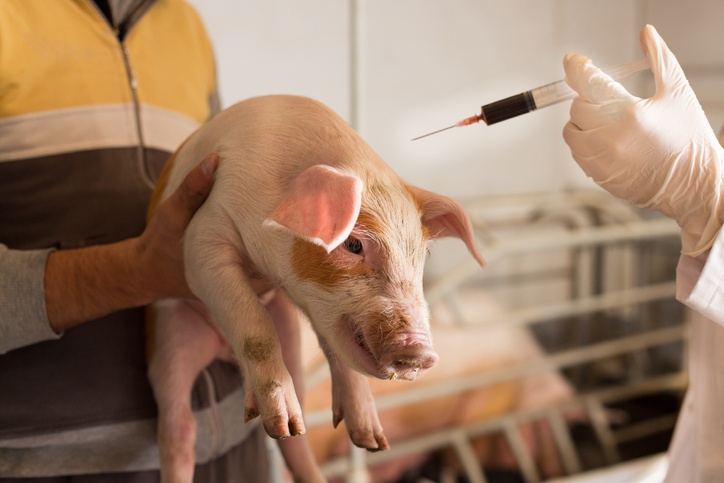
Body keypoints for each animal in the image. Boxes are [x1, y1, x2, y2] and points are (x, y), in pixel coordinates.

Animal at [144, 95, 484, 483]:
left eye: (423, 253)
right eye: (353, 244)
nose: (422, 352)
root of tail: (221, 349)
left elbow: (335, 344)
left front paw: (373, 443)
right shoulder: (200, 237)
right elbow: (255, 326)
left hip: (288, 333)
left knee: (295, 436)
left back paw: (300, 434)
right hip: (169, 336)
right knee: (179, 427)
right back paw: (277, 423)